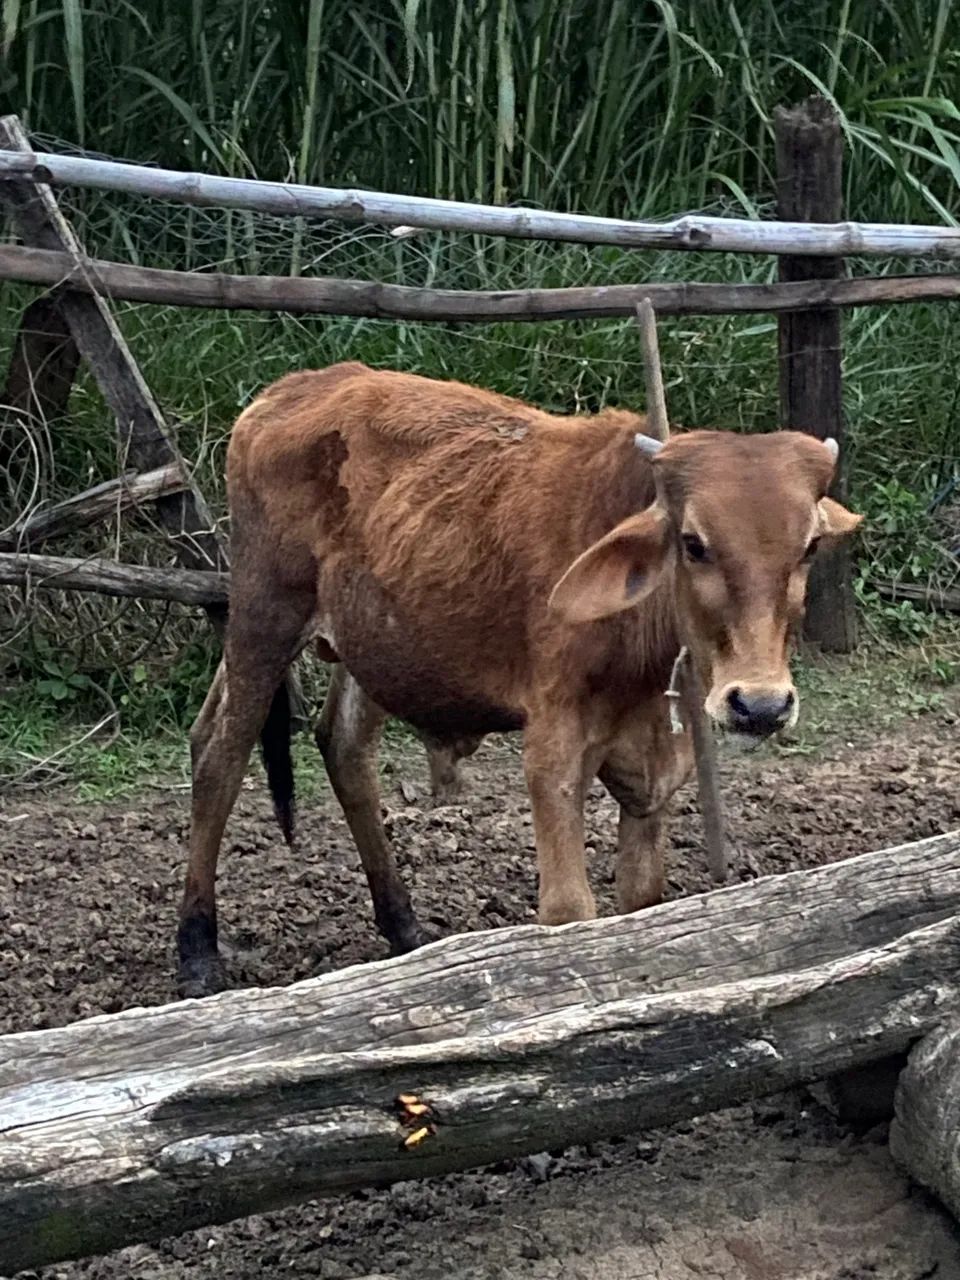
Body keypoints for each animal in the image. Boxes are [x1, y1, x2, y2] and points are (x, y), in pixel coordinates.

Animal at [177, 359, 861, 997]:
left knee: (339, 746)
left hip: (367, 645)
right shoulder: (553, 749)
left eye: (808, 547)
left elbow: (642, 902)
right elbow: (568, 910)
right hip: (263, 614)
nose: (760, 705)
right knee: (220, 753)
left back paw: (404, 928)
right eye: (694, 543)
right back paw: (197, 950)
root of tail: (297, 386)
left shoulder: (657, 780)